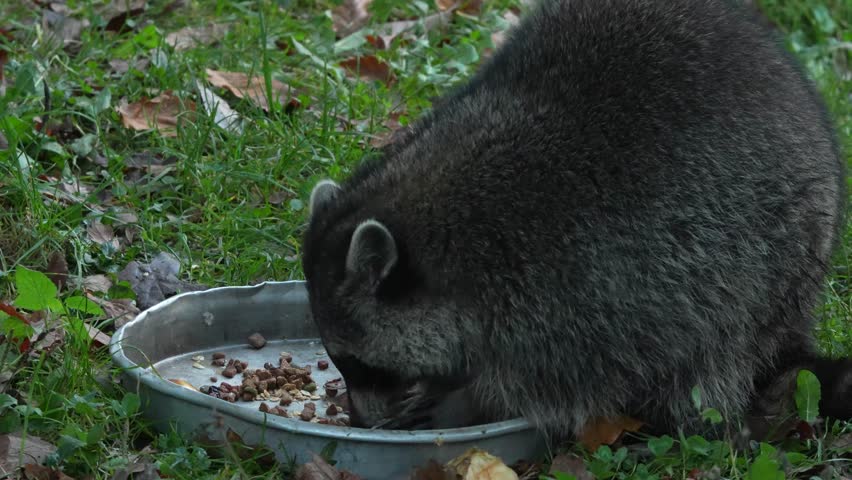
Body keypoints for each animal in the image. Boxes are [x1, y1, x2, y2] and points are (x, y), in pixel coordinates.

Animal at [301, 0, 849, 440]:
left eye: (359, 363)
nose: (358, 421)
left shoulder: (586, 294)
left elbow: (552, 385)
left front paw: (466, 403)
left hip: (765, 265)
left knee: (711, 353)